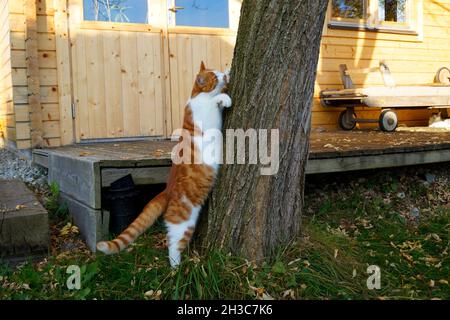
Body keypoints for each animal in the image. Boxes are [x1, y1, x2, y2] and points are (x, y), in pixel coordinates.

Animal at [98, 61, 232, 266]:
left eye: (218, 72)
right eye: (215, 77)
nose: (223, 76)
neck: (196, 95)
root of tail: (166, 190)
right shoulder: (206, 112)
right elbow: (215, 100)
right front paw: (223, 98)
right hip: (183, 222)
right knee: (173, 244)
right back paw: (177, 268)